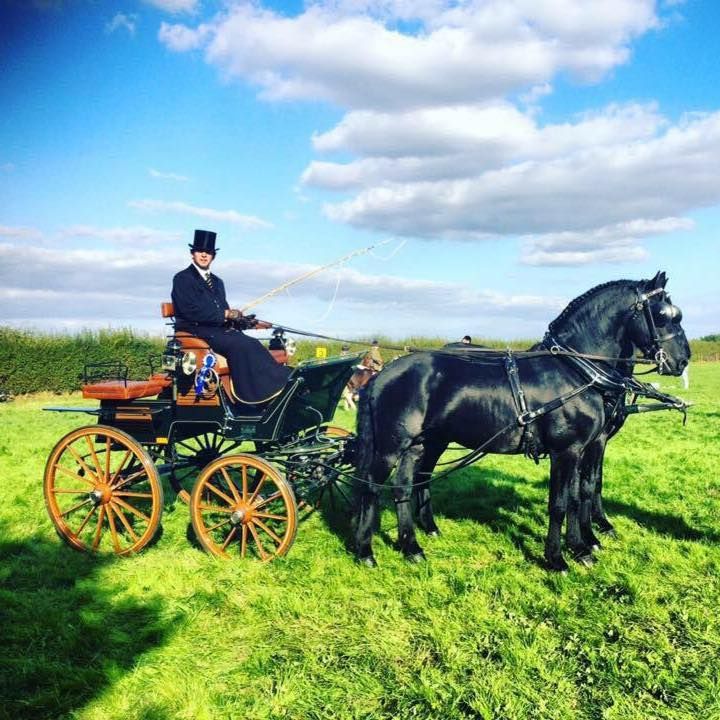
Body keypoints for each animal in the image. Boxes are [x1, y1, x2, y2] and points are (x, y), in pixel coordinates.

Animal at [352, 273, 691, 571]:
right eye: (661, 315)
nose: (682, 361)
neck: (575, 371)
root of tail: (383, 373)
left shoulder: (586, 446)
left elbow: (579, 493)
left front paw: (583, 547)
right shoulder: (566, 451)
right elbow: (560, 503)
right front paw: (558, 559)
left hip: (423, 443)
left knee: (406, 485)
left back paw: (413, 546)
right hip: (391, 446)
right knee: (370, 487)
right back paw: (365, 551)